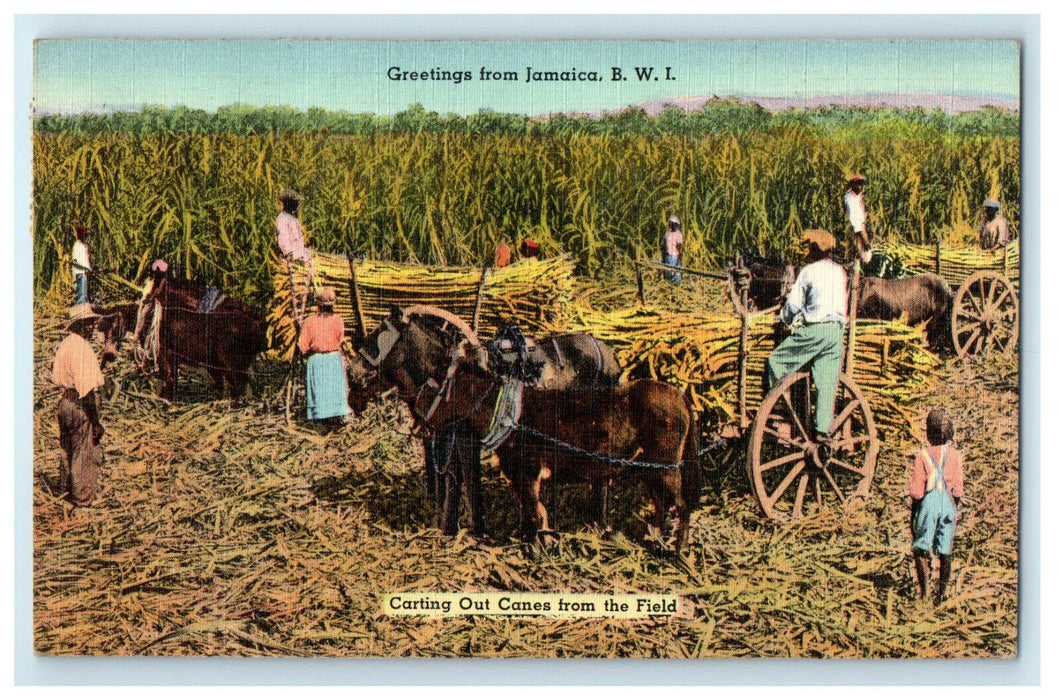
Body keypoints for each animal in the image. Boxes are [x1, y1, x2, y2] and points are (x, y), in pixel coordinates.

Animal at [348, 310, 700, 552]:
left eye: (378, 337)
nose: (352, 384)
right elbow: (456, 480)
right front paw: (454, 529)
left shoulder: (488, 450)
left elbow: (476, 486)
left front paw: (476, 533)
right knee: (651, 496)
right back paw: (640, 534)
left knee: (656, 496)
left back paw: (653, 542)